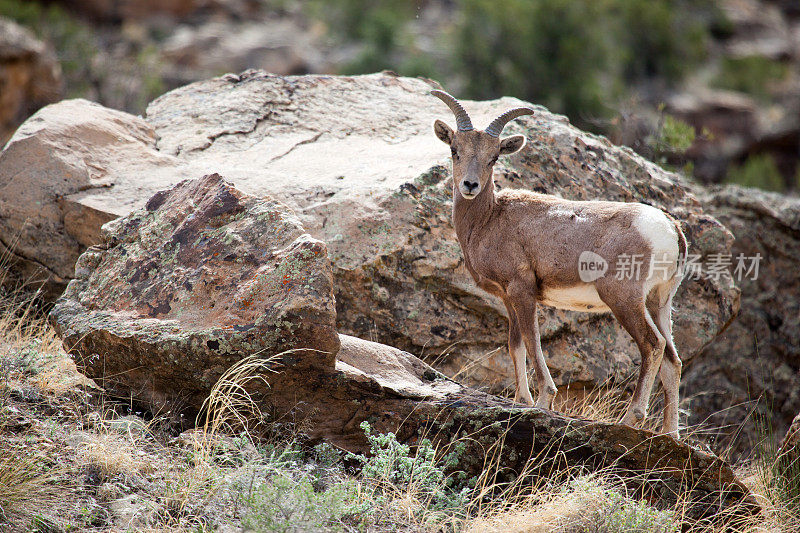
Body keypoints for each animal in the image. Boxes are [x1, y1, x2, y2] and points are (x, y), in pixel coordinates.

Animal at [432, 88, 688, 436]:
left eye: (494, 157)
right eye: (455, 150)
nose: (469, 186)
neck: (489, 220)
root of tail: (670, 229)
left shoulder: (522, 292)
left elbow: (533, 342)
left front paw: (542, 402)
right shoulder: (508, 299)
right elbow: (516, 345)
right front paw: (522, 400)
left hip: (625, 300)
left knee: (652, 345)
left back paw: (629, 418)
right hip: (658, 302)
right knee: (673, 361)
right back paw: (670, 434)